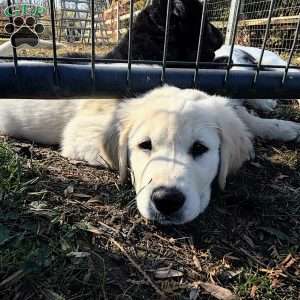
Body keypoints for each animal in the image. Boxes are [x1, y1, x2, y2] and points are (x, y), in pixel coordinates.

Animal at [0, 85, 300, 224]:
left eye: (200, 149)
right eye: (145, 145)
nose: (167, 201)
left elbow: (243, 116)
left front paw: (282, 126)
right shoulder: (79, 134)